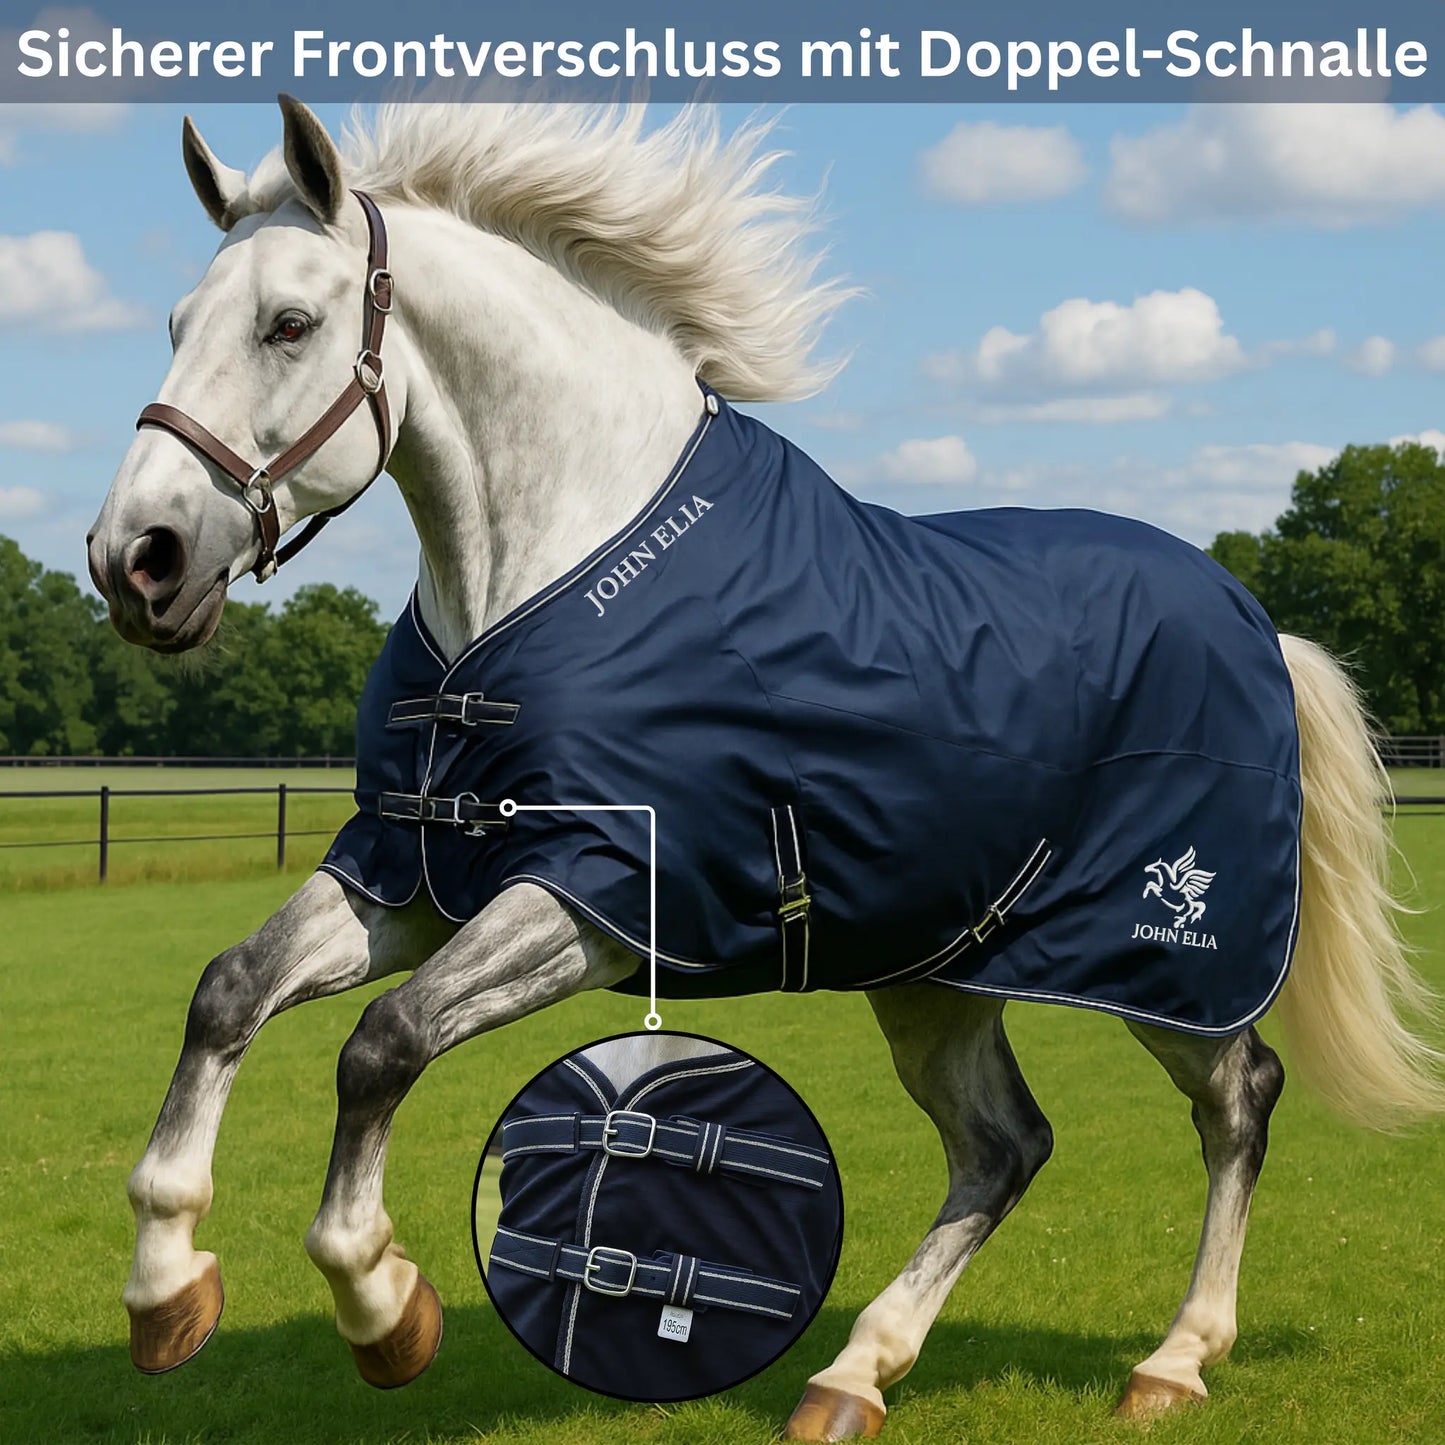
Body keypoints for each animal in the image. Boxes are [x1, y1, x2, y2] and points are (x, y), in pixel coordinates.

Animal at [86, 98, 1444, 1438]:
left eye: (290, 324)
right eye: (174, 324)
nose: (135, 559)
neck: (539, 574)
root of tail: (1255, 623)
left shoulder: (596, 887)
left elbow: (383, 1042)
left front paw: (380, 1302)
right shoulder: (411, 869)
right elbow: (228, 990)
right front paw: (165, 1289)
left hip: (1163, 966)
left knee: (1236, 1098)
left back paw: (1172, 1358)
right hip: (936, 973)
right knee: (1001, 1145)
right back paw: (854, 1373)